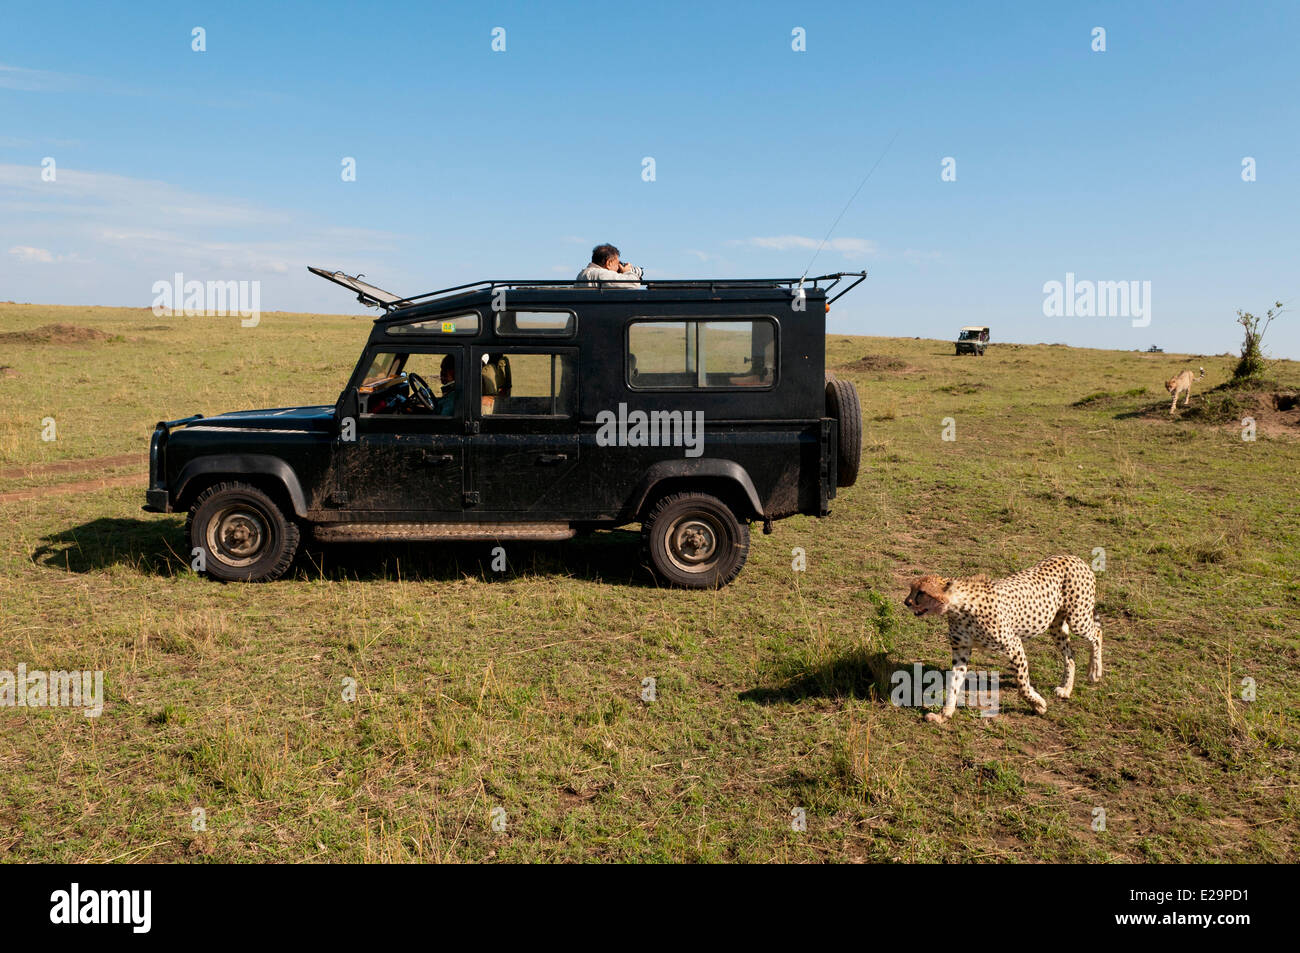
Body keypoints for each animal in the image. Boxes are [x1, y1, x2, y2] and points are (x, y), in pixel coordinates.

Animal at [909, 551, 1102, 722]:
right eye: (911, 589)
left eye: (921, 592)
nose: (906, 602)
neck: (958, 607)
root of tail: (1073, 557)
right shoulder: (961, 651)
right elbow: (953, 684)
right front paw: (944, 715)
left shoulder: (1014, 644)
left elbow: (1022, 684)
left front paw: (1038, 705)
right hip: (1056, 626)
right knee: (1070, 655)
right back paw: (1066, 688)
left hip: (1078, 619)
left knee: (1097, 632)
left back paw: (1095, 671)